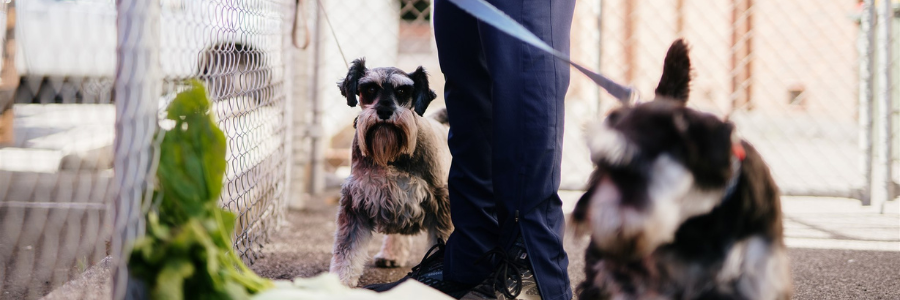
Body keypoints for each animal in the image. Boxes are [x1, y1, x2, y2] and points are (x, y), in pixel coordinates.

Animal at [330, 58, 454, 286]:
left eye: (403, 91)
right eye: (370, 89)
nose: (385, 111)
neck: (390, 156)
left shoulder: (441, 201)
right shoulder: (356, 204)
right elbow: (347, 251)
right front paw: (339, 283)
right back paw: (391, 255)